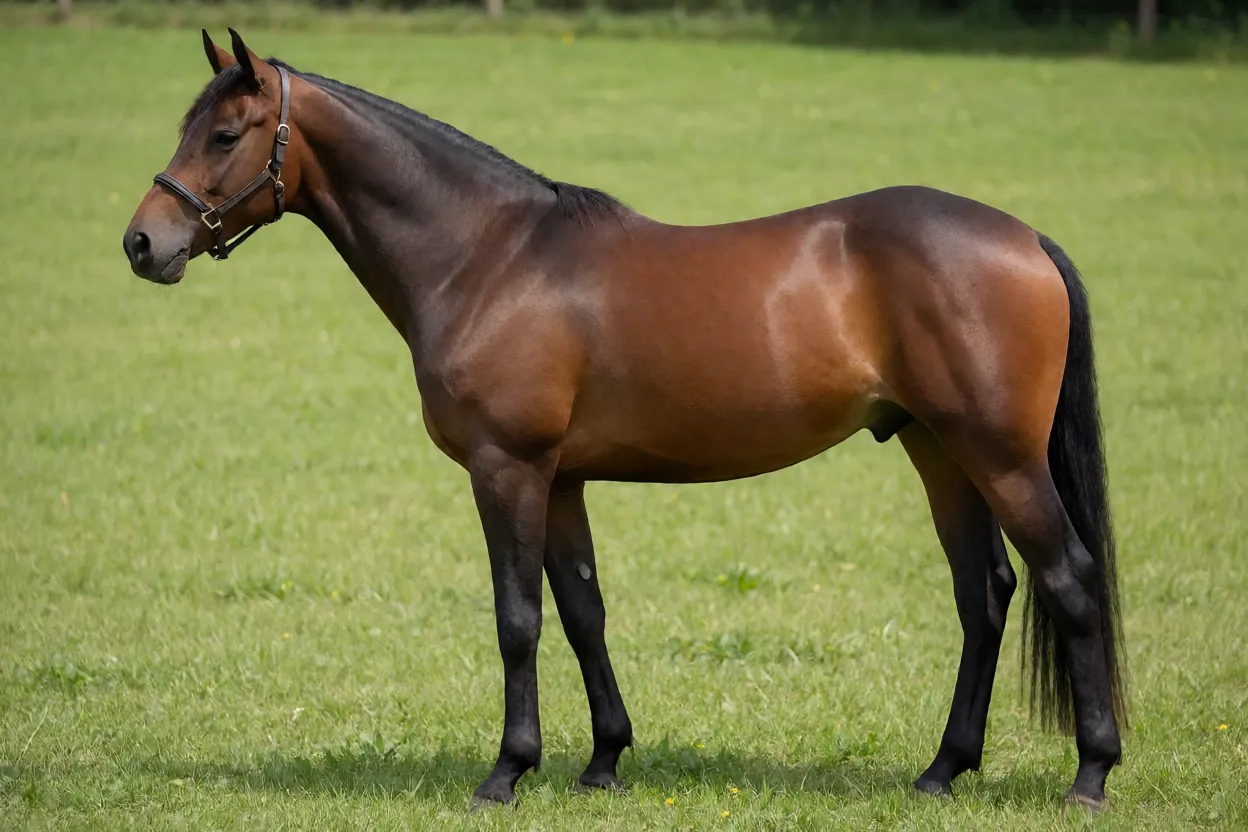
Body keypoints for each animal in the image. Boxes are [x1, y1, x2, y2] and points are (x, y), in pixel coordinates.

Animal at [123, 29, 1127, 810]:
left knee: (1069, 580)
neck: (489, 258)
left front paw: (506, 772)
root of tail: (1026, 238)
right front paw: (603, 760)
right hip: (939, 452)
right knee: (983, 594)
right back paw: (942, 771)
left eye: (225, 133)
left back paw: (1090, 776)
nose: (141, 243)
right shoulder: (562, 477)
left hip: (999, 457)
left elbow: (518, 618)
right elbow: (583, 611)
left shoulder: (508, 468)